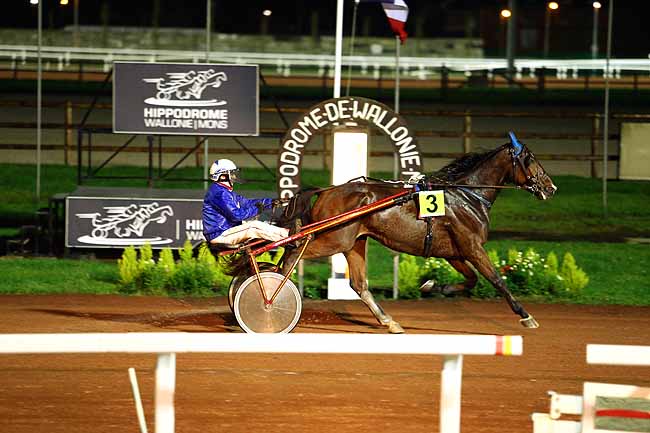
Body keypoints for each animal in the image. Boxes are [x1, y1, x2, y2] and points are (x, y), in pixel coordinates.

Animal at [228, 132, 557, 333]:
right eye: (530, 160)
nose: (551, 187)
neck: (466, 195)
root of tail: (327, 190)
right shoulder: (473, 247)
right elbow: (497, 280)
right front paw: (526, 316)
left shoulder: (454, 252)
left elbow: (471, 280)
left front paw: (433, 286)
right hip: (333, 238)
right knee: (292, 253)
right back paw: (270, 298)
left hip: (354, 243)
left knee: (359, 285)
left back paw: (389, 321)